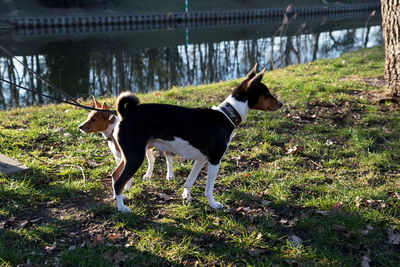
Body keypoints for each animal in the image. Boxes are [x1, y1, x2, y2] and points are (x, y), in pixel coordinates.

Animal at [111, 63, 282, 213]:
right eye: (267, 93)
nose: (280, 104)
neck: (227, 115)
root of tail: (125, 113)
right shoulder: (215, 160)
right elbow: (208, 189)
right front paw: (214, 204)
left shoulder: (201, 159)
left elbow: (189, 181)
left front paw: (186, 197)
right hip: (135, 157)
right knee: (119, 182)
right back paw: (122, 208)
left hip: (128, 156)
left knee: (114, 176)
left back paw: (118, 198)